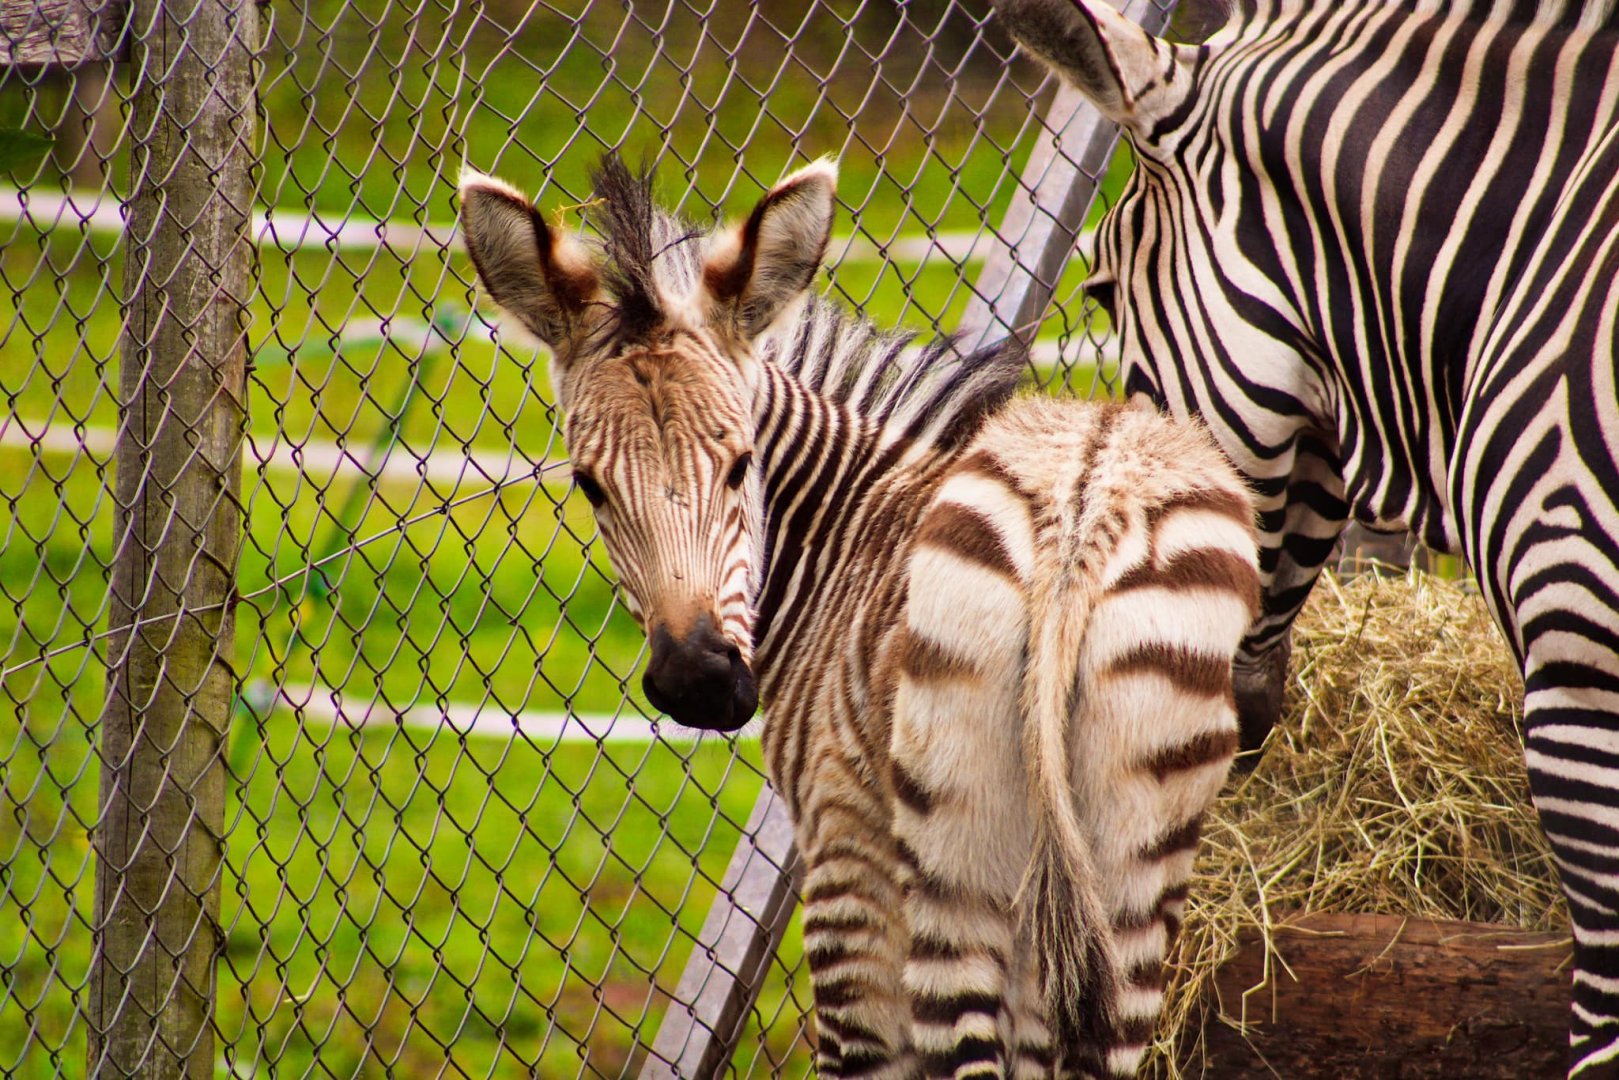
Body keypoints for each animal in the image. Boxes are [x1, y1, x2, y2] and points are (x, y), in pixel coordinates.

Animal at [457, 155, 1260, 1077]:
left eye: (740, 465)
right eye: (589, 485)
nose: (696, 683)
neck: (847, 527)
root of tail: (1082, 507)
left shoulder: (840, 830)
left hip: (945, 856)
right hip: (1130, 860)